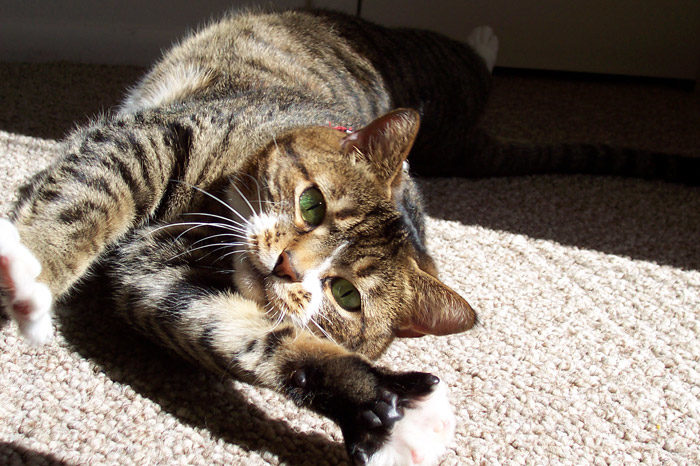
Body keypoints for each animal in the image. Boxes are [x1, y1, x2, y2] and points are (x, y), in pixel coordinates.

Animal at [0, 7, 696, 466]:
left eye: (346, 297)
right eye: (310, 204)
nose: (285, 267)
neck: (209, 226)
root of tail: (463, 139)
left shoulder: (155, 276)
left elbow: (242, 333)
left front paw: (377, 405)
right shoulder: (155, 137)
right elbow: (86, 201)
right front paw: (29, 275)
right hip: (427, 57)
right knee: (469, 59)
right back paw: (486, 37)